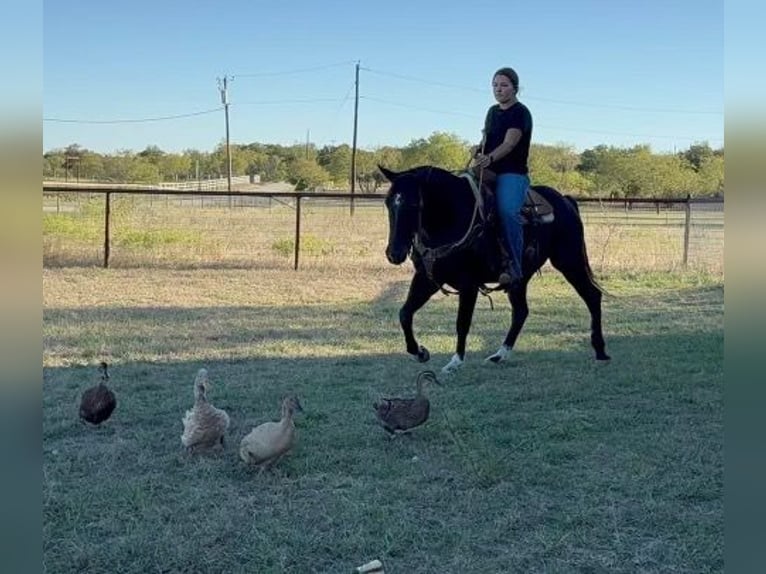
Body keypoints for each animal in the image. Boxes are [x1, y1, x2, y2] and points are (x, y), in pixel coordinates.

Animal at [384, 164, 612, 376]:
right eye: (388, 202)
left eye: (414, 204)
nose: (394, 253)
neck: (452, 219)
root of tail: (565, 201)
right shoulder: (427, 278)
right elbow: (405, 313)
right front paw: (419, 352)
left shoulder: (469, 284)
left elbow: (462, 322)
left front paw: (455, 362)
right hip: (521, 278)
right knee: (521, 312)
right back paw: (499, 355)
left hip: (570, 261)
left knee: (592, 296)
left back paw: (600, 351)